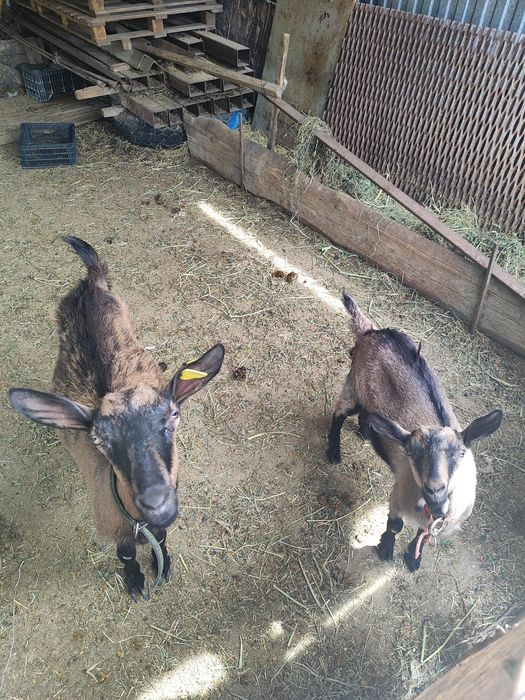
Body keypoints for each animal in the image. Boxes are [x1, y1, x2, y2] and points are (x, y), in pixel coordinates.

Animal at [8, 237, 224, 600]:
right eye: (98, 439)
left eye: (174, 415)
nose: (156, 501)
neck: (138, 522)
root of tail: (90, 284)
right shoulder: (113, 529)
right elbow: (125, 555)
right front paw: (135, 582)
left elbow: (162, 539)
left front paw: (164, 566)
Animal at [327, 290, 502, 571]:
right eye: (410, 452)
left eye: (461, 453)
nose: (434, 488)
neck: (434, 510)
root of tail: (372, 331)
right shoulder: (397, 495)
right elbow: (395, 526)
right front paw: (386, 549)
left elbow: (424, 534)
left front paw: (413, 557)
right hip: (354, 383)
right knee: (339, 413)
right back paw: (333, 452)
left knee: (368, 413)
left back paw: (367, 432)